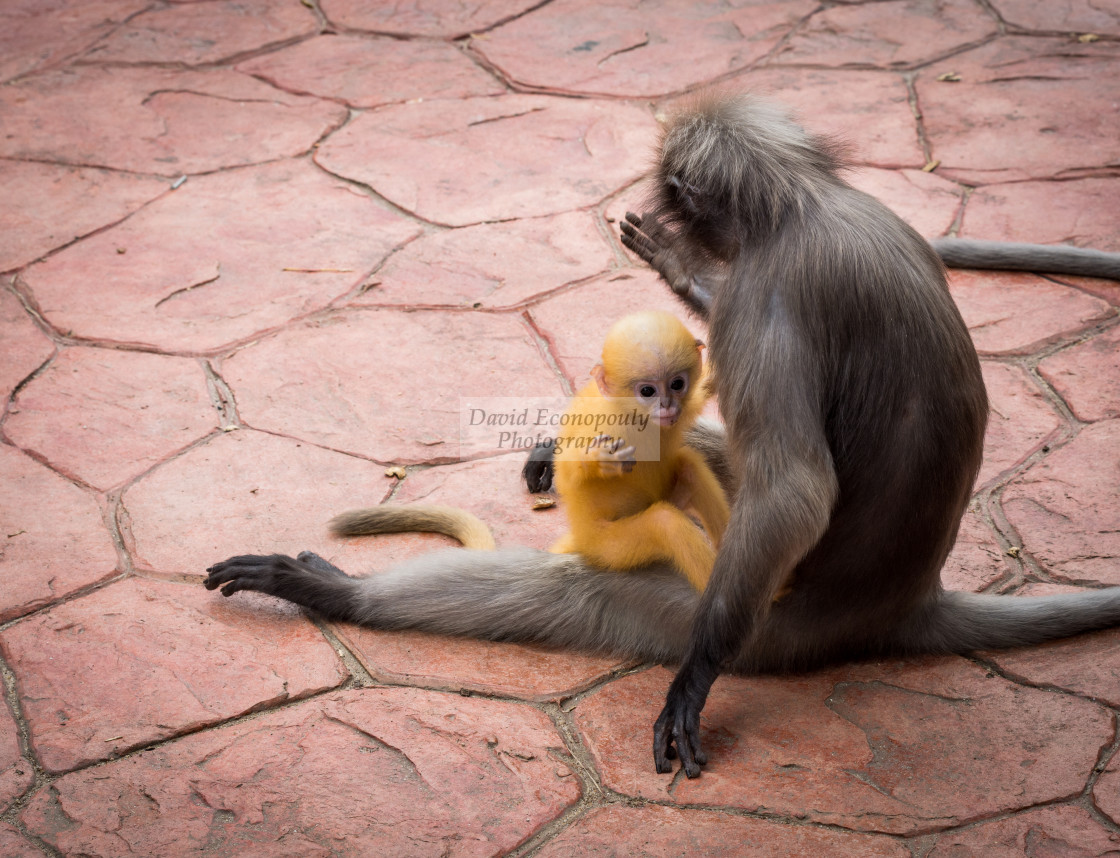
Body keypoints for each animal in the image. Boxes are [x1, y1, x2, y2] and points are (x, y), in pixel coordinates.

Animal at [206, 94, 1120, 779]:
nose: (684, 231)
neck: (810, 201)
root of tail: (905, 602)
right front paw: (678, 278)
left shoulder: (768, 294)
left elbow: (794, 489)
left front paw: (695, 678)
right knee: (689, 454)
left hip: (759, 615)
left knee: (584, 581)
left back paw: (339, 594)